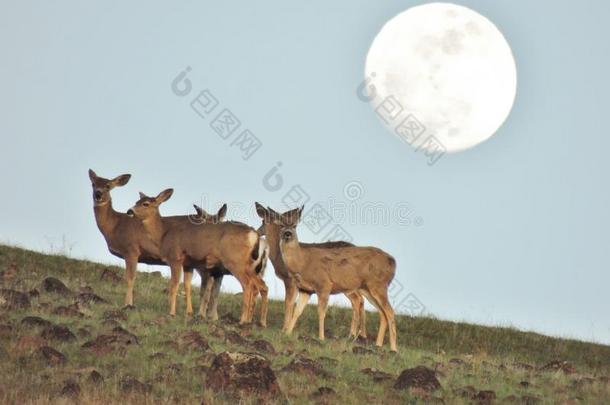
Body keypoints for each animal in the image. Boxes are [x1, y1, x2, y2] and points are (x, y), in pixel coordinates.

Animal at [88, 167, 223, 316]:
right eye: (93, 184)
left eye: (108, 186)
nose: (98, 194)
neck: (115, 225)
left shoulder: (131, 250)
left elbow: (130, 278)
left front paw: (128, 304)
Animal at [127, 189, 268, 326]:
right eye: (136, 201)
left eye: (145, 204)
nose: (129, 211)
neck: (164, 234)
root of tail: (254, 235)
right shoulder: (188, 264)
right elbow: (188, 286)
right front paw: (189, 313)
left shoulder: (175, 258)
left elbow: (175, 285)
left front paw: (172, 313)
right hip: (250, 266)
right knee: (261, 286)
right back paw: (259, 322)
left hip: (235, 262)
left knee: (248, 285)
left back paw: (243, 320)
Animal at [253, 202, 366, 338]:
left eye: (263, 221)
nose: (257, 231)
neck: (279, 257)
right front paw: (287, 329)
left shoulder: (290, 280)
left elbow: (288, 303)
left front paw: (284, 329)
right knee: (361, 300)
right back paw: (359, 335)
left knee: (358, 300)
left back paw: (353, 334)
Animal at [268, 205, 396, 350]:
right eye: (281, 225)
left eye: (295, 225)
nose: (287, 234)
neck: (303, 262)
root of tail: (393, 262)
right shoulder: (306, 290)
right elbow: (297, 311)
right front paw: (288, 333)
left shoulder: (324, 284)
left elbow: (321, 312)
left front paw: (321, 337)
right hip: (368, 289)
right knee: (382, 312)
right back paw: (378, 344)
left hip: (378, 285)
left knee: (390, 312)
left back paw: (393, 348)